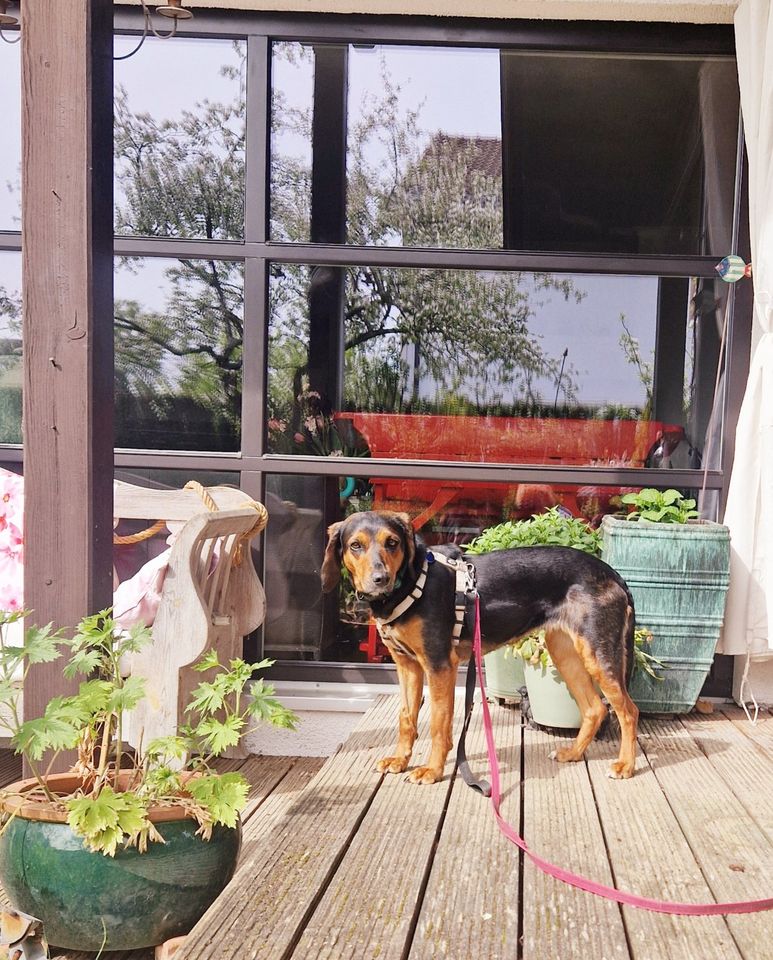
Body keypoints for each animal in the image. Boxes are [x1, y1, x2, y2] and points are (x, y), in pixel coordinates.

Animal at [320, 506, 640, 784]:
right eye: (355, 546)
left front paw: (432, 770)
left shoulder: (439, 665)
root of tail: (613, 574)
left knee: (628, 710)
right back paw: (573, 753)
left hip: (597, 653)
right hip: (565, 652)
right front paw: (400, 760)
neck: (409, 582)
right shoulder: (407, 665)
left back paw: (625, 765)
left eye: (393, 543)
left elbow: (438, 723)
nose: (380, 579)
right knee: (595, 709)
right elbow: (406, 717)